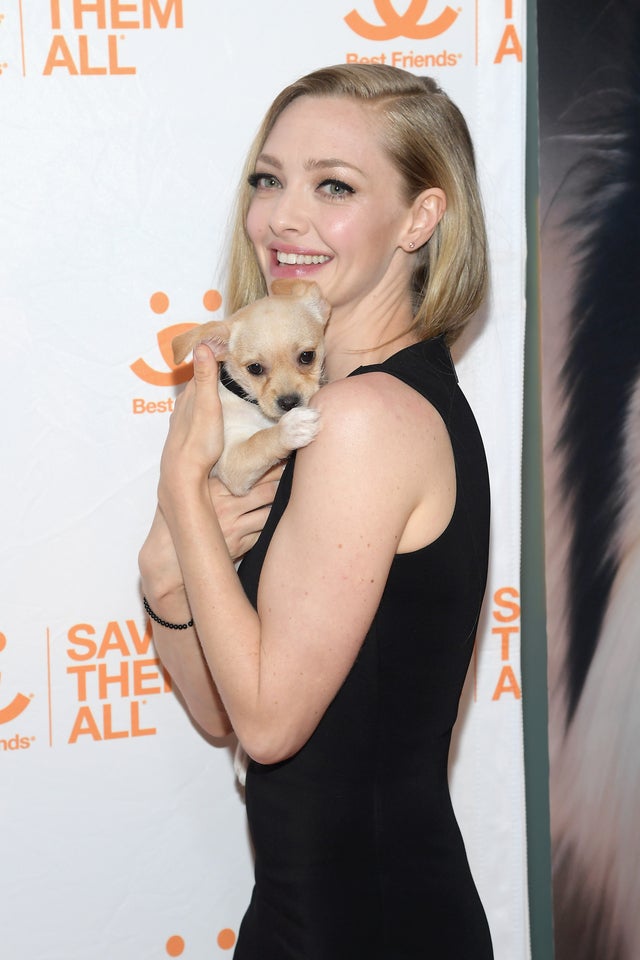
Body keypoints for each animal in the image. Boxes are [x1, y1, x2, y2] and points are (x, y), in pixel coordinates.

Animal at [171, 278, 330, 496]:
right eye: (255, 368)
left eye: (307, 356)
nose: (289, 402)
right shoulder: (232, 459)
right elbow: (259, 440)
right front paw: (289, 429)